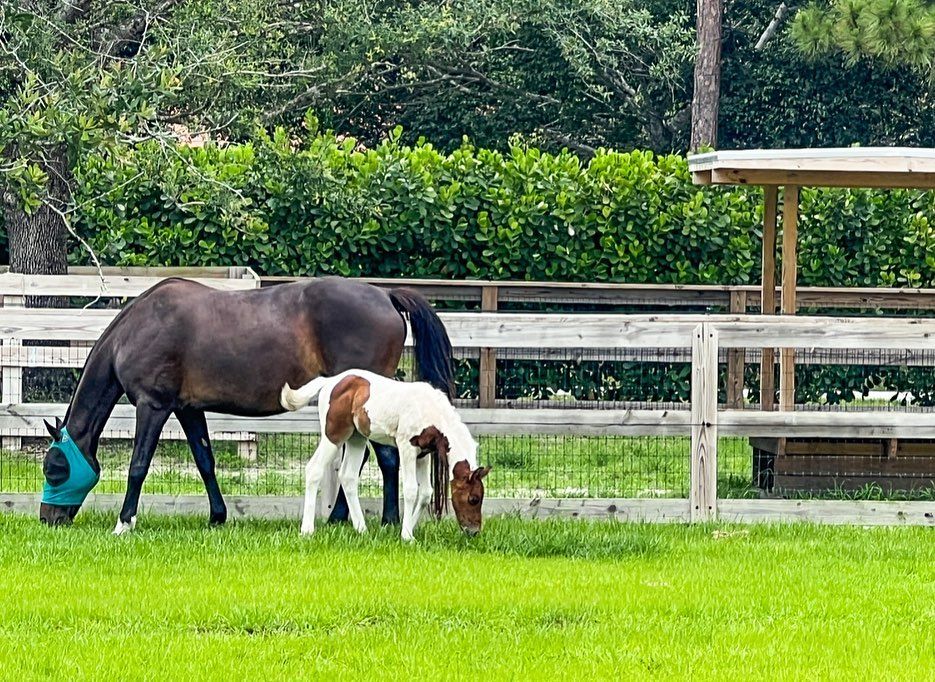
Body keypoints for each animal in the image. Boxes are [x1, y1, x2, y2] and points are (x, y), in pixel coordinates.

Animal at [39, 276, 455, 532]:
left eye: (54, 469)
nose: (48, 518)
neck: (139, 327)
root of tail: (384, 294)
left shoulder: (153, 405)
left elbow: (138, 466)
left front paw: (125, 522)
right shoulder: (187, 409)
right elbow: (205, 461)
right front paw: (217, 516)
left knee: (385, 459)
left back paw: (386, 519)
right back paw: (341, 517)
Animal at [280, 369, 489, 540]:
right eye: (473, 499)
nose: (473, 532)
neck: (429, 411)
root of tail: (331, 381)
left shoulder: (423, 454)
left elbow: (425, 493)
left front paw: (408, 529)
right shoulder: (406, 447)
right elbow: (411, 490)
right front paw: (407, 536)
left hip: (356, 438)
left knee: (348, 477)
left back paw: (362, 529)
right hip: (333, 435)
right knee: (314, 469)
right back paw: (307, 531)